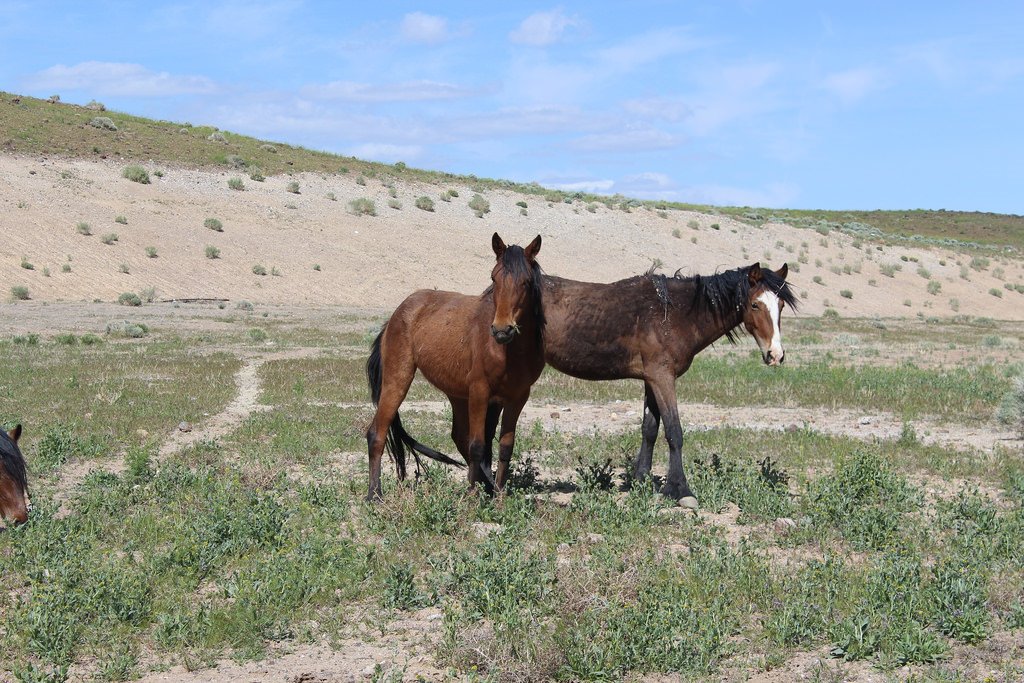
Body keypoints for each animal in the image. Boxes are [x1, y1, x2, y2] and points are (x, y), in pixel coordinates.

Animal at [365, 233, 545, 500]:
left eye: (526, 281)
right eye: (494, 277)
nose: (502, 330)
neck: (508, 351)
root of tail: (396, 315)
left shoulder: (517, 397)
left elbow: (504, 447)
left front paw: (499, 496)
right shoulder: (480, 392)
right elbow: (478, 446)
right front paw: (472, 498)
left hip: (457, 395)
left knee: (459, 438)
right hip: (397, 381)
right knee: (377, 433)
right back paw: (374, 495)